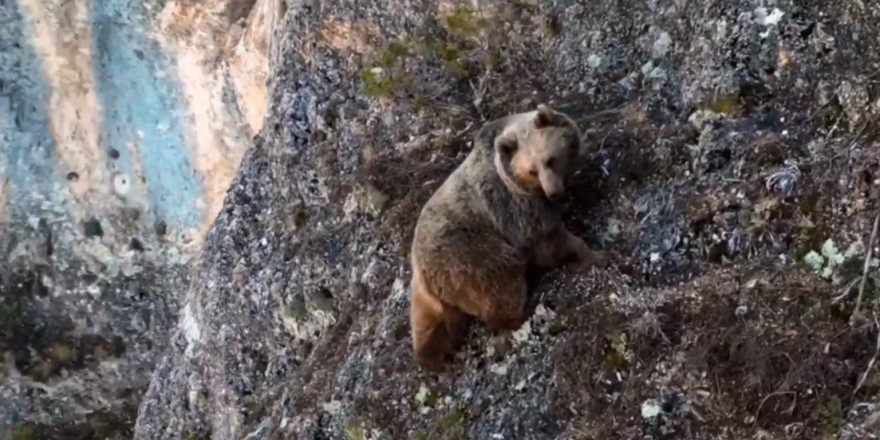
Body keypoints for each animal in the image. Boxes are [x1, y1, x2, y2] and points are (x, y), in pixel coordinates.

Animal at [410, 105, 604, 372]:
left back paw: (431, 355)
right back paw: (519, 312)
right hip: (470, 255)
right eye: (532, 170)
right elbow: (549, 239)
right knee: (501, 281)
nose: (554, 192)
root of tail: (423, 272)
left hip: (427, 294)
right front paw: (590, 254)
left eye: (550, 160)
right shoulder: (514, 209)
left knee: (429, 324)